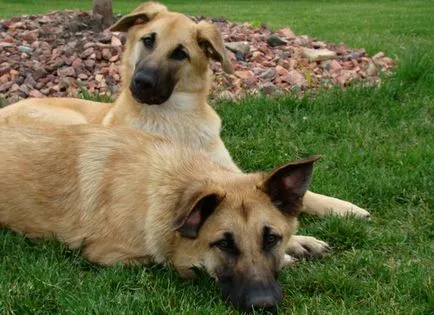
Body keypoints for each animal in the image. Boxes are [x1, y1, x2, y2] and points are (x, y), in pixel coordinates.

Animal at [0, 1, 370, 222]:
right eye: (148, 40)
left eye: (180, 54)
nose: (142, 83)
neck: (175, 119)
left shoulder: (230, 171)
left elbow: (307, 193)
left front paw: (344, 207)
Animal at [0, 124, 322, 312]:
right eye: (223, 244)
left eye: (271, 239)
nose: (263, 304)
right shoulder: (111, 255)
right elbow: (163, 261)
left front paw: (299, 243)